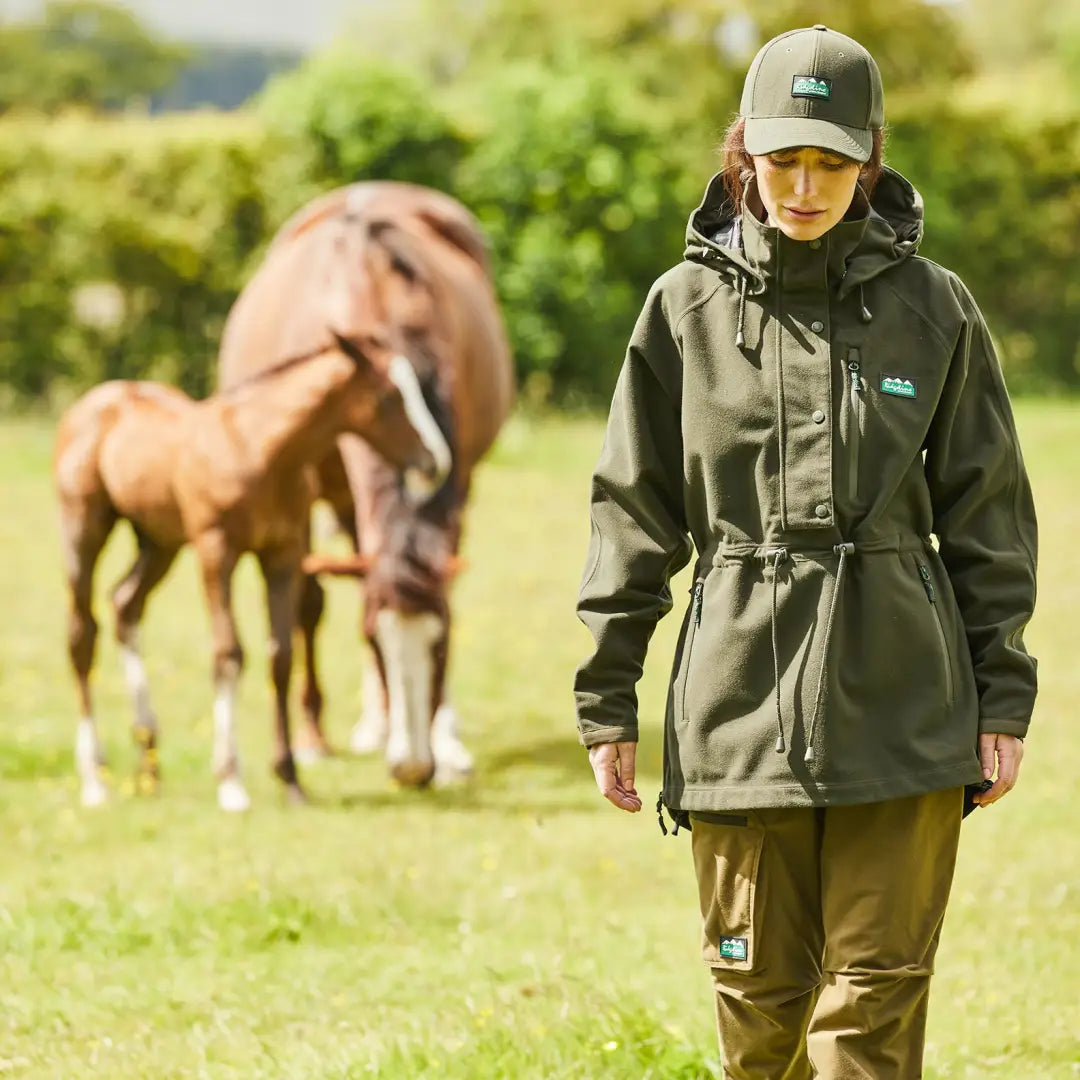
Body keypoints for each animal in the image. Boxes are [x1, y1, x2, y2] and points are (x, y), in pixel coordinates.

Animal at [53, 328, 451, 812]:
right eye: (388, 397)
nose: (434, 462)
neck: (260, 450)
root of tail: (93, 402)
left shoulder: (281, 556)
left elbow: (281, 656)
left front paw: (290, 778)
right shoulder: (216, 551)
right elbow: (229, 653)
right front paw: (231, 781)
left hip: (159, 542)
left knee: (124, 605)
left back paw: (150, 762)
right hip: (83, 530)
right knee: (82, 634)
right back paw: (95, 777)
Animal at [219, 181, 514, 790]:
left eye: (440, 647)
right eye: (377, 638)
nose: (412, 770)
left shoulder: (459, 478)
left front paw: (446, 742)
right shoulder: (301, 488)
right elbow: (309, 604)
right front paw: (312, 739)